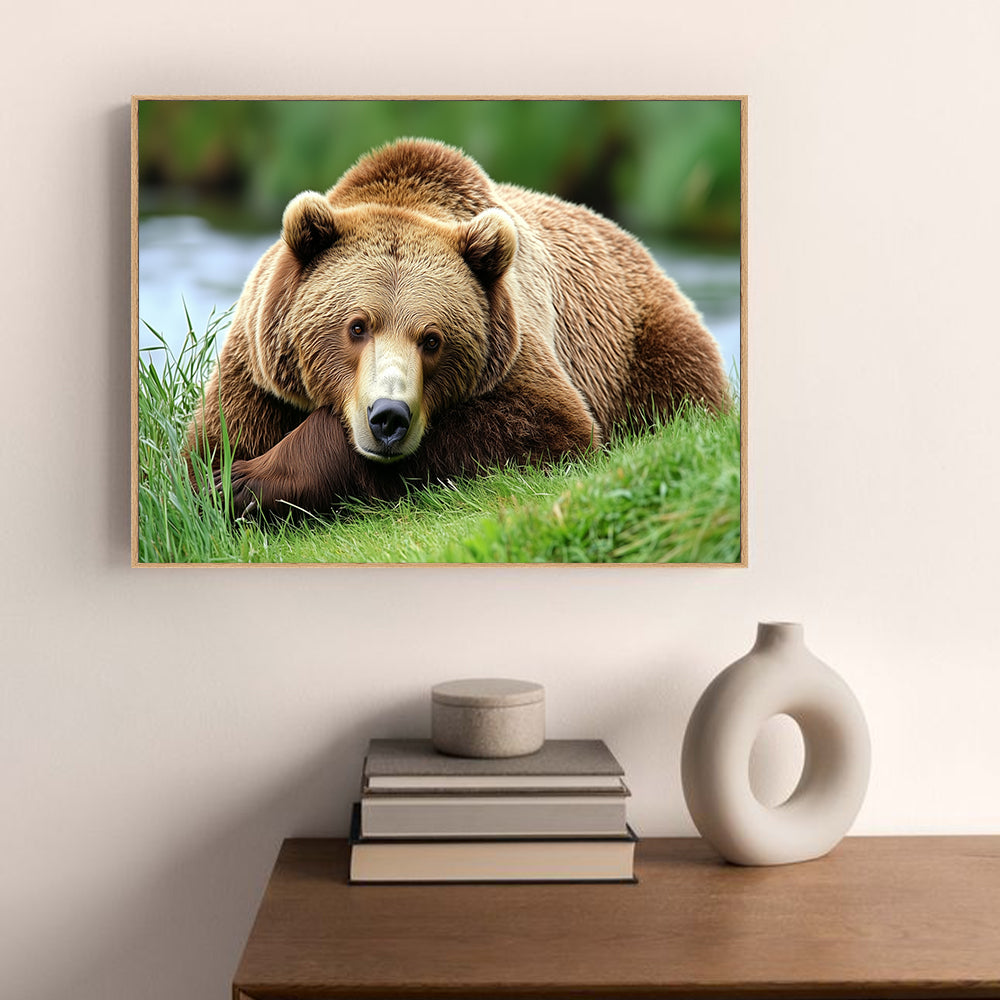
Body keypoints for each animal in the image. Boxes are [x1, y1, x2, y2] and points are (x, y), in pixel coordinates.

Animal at [187, 138, 730, 518]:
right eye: (356, 326)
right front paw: (218, 481)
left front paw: (246, 480)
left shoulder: (514, 349)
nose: (388, 417)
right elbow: (206, 446)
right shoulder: (259, 372)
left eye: (432, 339)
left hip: (643, 344)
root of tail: (639, 245)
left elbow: (545, 425)